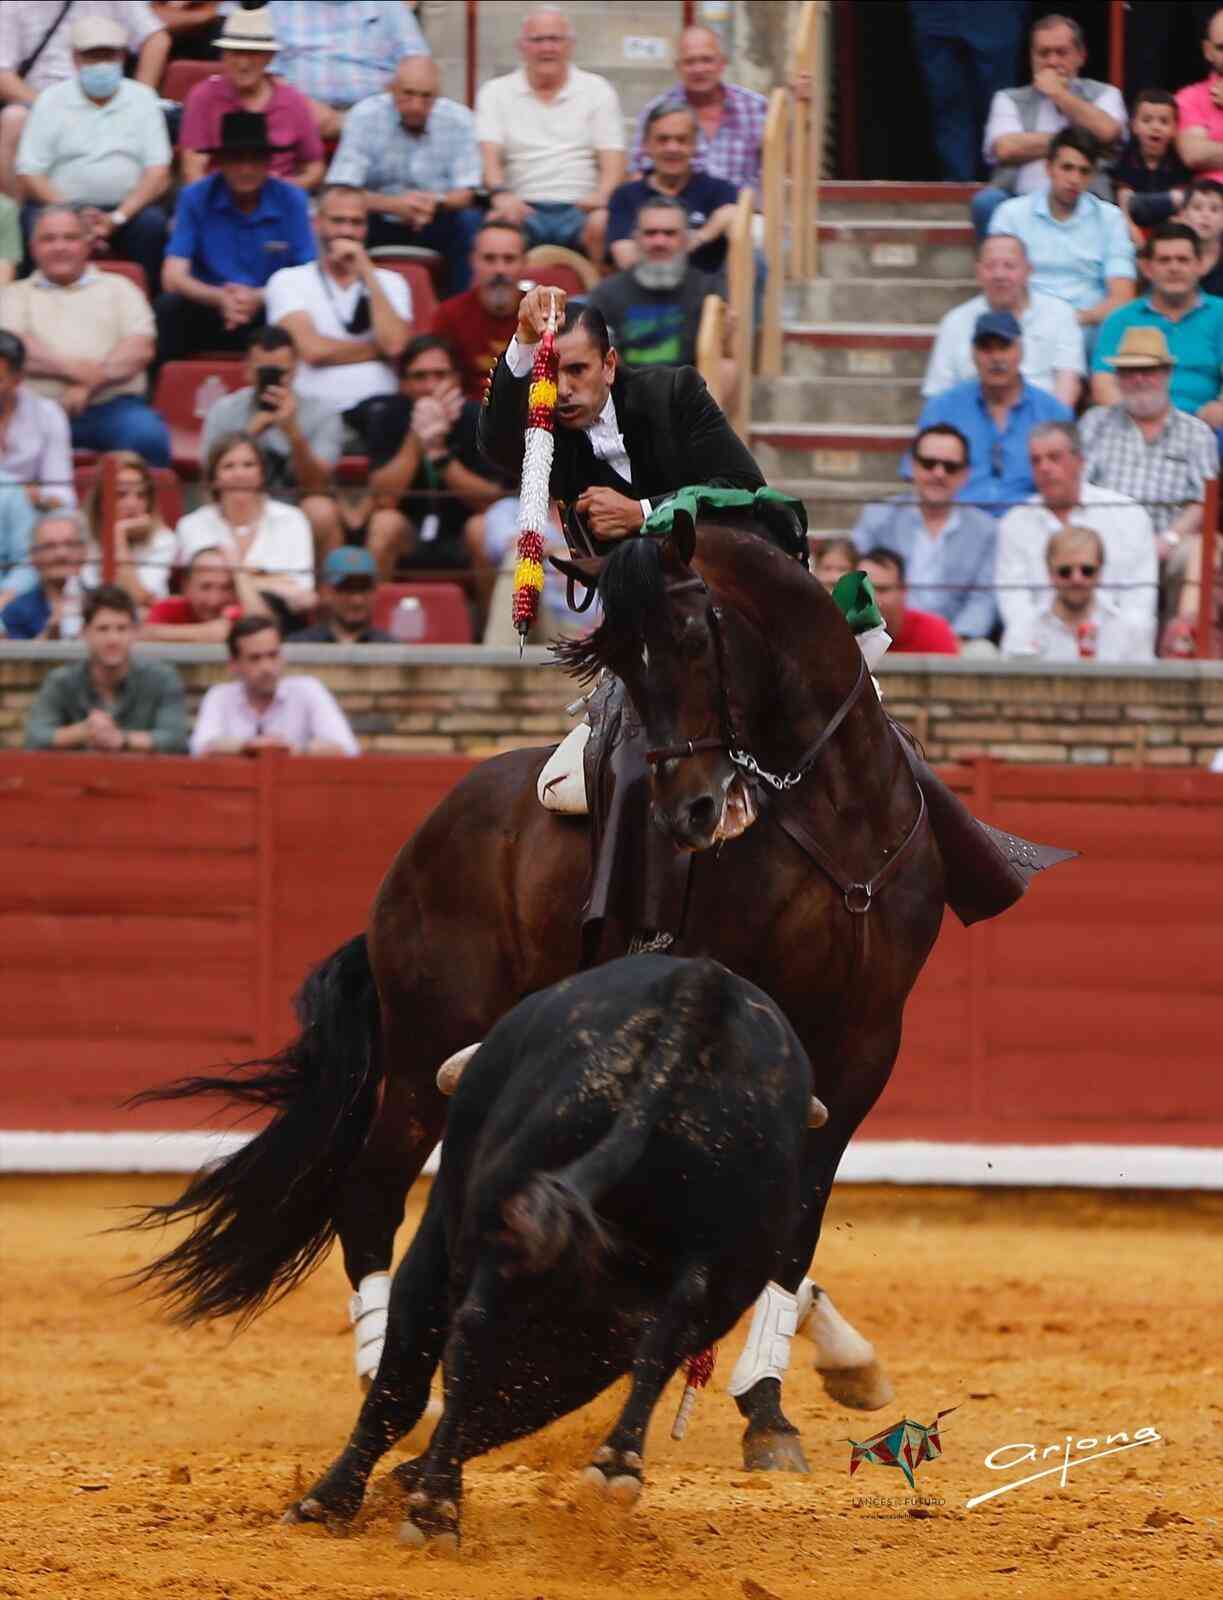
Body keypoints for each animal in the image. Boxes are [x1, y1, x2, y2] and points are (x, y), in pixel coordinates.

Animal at [130, 512, 952, 1480]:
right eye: (621, 660)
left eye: (688, 638)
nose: (692, 812)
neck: (838, 817)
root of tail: (415, 851)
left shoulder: (867, 1042)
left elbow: (797, 1222)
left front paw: (778, 1402)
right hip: (422, 1050)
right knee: (370, 1191)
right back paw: (396, 1387)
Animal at [284, 953, 820, 1551]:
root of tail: (701, 987)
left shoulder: (441, 1236)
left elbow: (408, 1382)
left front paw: (337, 1502)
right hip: (708, 1263)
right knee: (655, 1334)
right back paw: (611, 1468)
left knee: (472, 1342)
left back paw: (431, 1508)